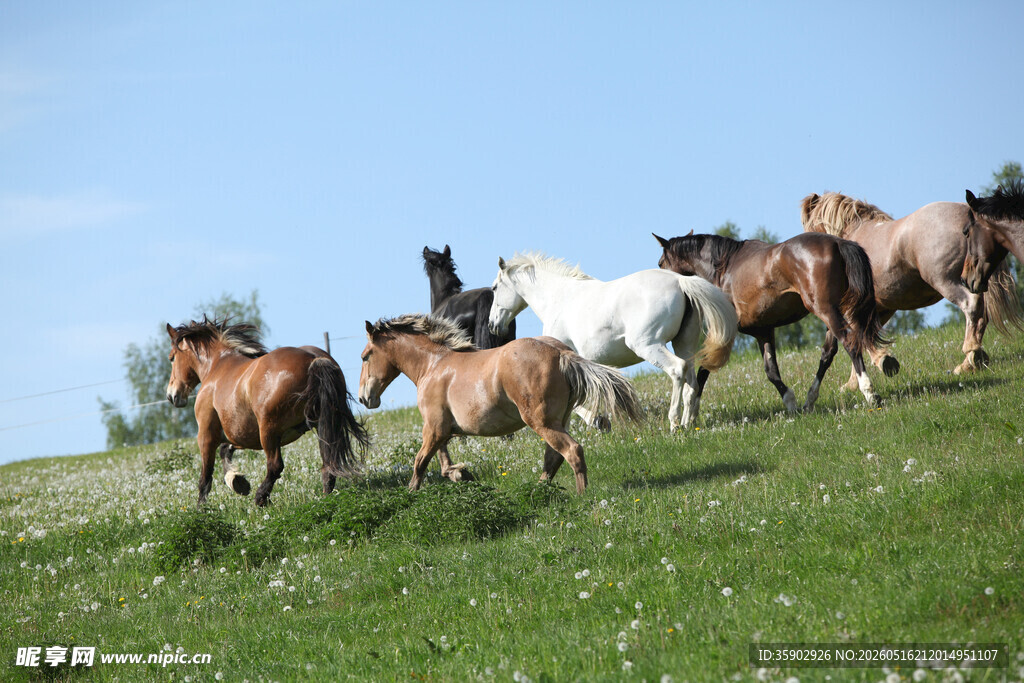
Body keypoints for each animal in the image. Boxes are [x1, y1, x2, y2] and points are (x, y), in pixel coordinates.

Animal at [165, 318, 369, 507]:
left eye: (172, 357)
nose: (172, 395)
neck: (217, 366)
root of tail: (313, 360)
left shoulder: (206, 435)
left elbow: (205, 477)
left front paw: (201, 509)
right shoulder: (243, 435)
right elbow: (225, 450)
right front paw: (238, 481)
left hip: (269, 431)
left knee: (275, 466)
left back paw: (261, 498)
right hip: (322, 425)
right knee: (327, 465)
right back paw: (325, 499)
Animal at [357, 314, 643, 494]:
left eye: (365, 356)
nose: (364, 397)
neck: (433, 365)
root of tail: (562, 353)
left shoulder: (434, 427)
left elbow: (420, 463)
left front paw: (410, 494)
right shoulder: (443, 430)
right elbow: (442, 462)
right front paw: (460, 474)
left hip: (541, 421)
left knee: (572, 451)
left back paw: (581, 496)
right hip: (559, 420)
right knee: (553, 458)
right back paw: (538, 491)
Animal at [487, 252, 737, 432]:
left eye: (495, 288)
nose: (492, 325)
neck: (560, 299)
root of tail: (679, 280)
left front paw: (598, 421)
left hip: (648, 345)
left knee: (677, 370)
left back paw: (674, 423)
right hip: (684, 344)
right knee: (692, 383)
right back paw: (688, 423)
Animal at [654, 232, 890, 412]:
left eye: (660, 263)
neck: (723, 268)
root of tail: (837, 243)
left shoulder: (726, 334)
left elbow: (705, 369)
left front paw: (691, 410)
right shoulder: (763, 331)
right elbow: (771, 371)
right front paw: (791, 403)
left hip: (826, 311)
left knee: (850, 344)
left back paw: (870, 393)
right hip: (833, 313)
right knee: (828, 353)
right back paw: (809, 400)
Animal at [801, 191, 1023, 377]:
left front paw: (882, 362)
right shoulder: (882, 308)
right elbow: (863, 337)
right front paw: (855, 381)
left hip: (946, 281)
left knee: (972, 306)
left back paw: (970, 354)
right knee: (981, 315)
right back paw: (972, 360)